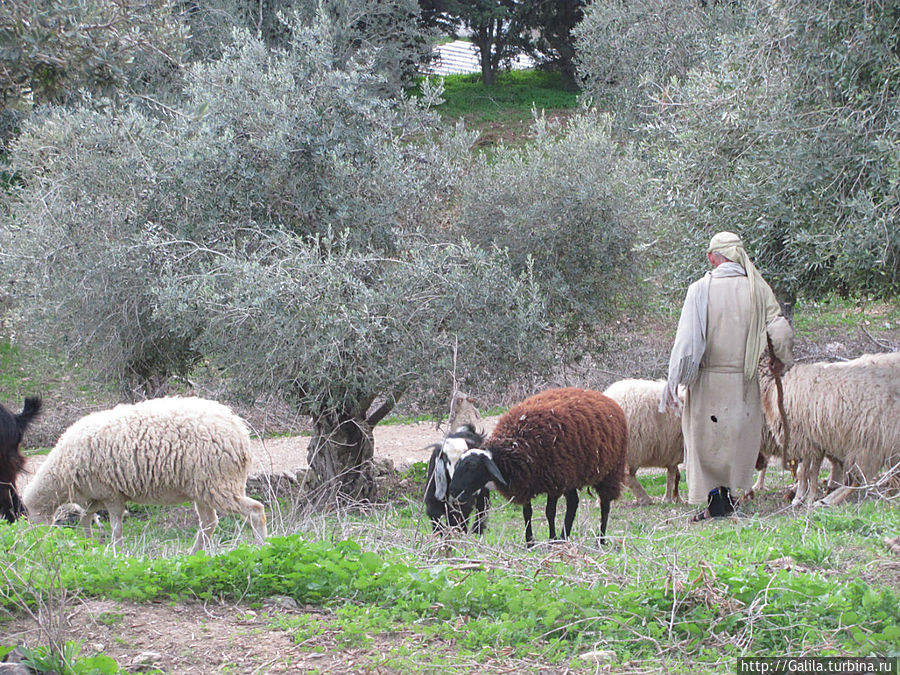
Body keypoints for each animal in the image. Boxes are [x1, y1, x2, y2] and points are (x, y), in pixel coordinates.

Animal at [22, 398, 266, 552]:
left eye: (32, 518)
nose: (38, 546)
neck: (62, 469)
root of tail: (240, 432)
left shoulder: (111, 493)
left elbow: (116, 526)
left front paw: (116, 551)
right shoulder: (96, 496)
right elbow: (86, 518)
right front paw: (89, 544)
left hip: (218, 482)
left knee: (255, 510)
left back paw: (263, 547)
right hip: (203, 488)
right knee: (209, 523)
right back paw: (193, 554)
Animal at [760, 354, 900, 508]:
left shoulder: (801, 438)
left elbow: (804, 472)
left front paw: (801, 498)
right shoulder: (813, 440)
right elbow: (811, 471)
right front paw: (807, 495)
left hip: (869, 442)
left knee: (856, 480)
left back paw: (828, 500)